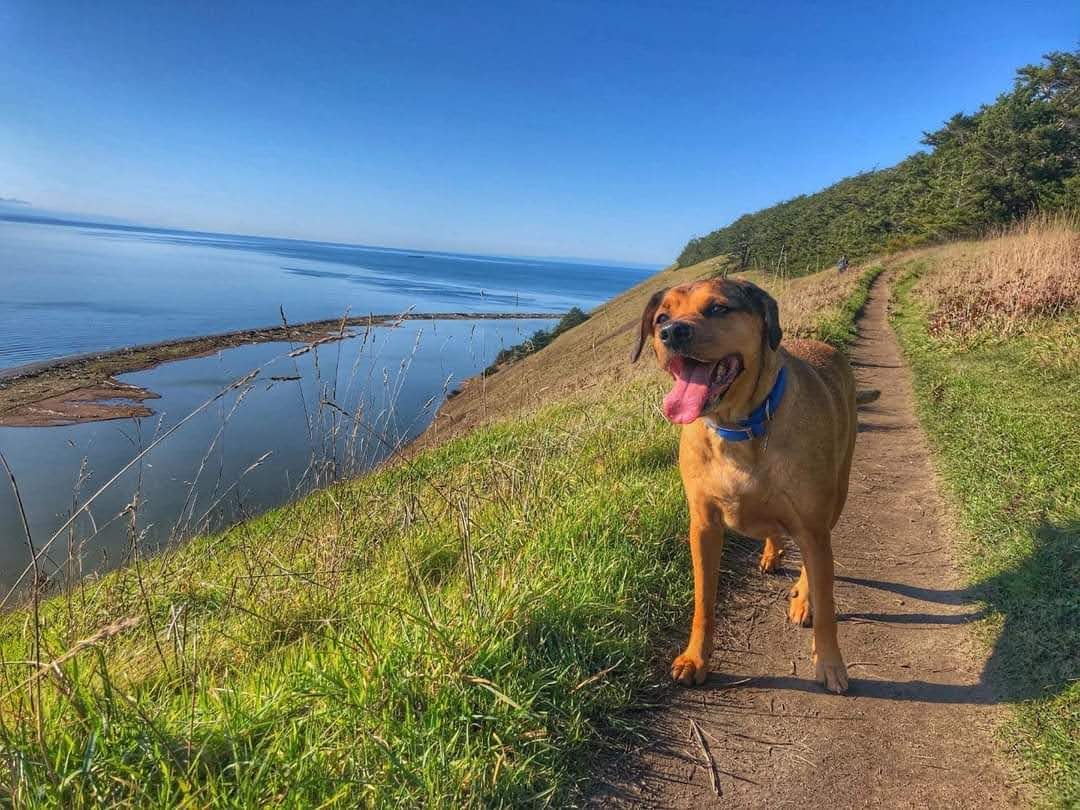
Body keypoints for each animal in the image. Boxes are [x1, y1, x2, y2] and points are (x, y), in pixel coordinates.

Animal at [630, 278, 855, 691]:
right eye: (661, 318)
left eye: (718, 308)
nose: (672, 333)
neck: (739, 426)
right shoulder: (703, 525)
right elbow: (704, 600)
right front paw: (696, 658)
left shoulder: (812, 525)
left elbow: (827, 603)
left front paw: (830, 662)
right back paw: (771, 552)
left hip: (836, 492)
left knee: (814, 561)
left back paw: (803, 598)